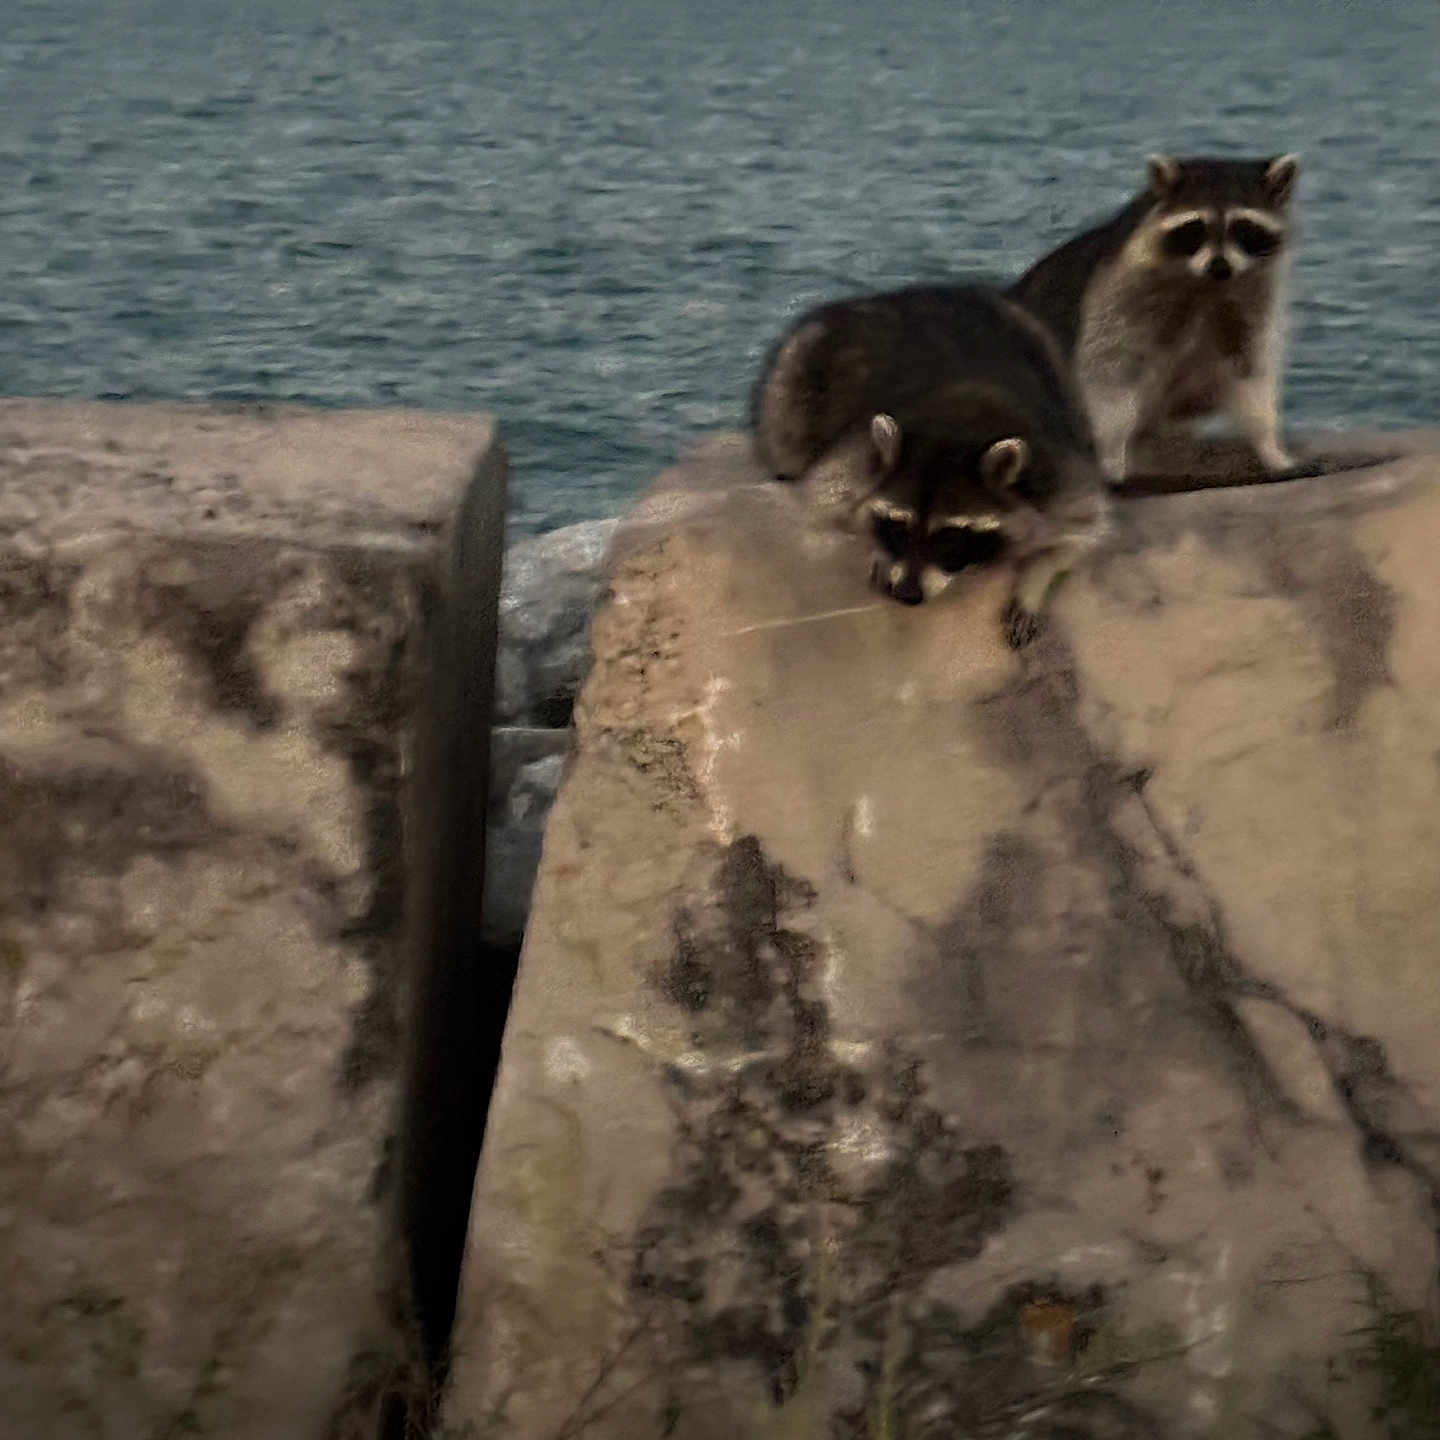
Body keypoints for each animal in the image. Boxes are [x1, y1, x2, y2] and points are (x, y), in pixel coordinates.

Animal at [751, 283, 1109, 647]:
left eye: (950, 537)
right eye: (899, 527)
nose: (908, 595)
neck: (956, 424)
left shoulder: (1054, 471)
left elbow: (1084, 531)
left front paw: (1033, 584)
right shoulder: (853, 456)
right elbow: (822, 506)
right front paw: (880, 550)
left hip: (1048, 355)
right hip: (797, 367)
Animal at [1009, 153, 1300, 482]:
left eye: (1244, 227)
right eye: (1195, 228)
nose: (1220, 267)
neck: (1203, 283)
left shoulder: (1251, 293)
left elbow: (1249, 367)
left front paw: (1268, 443)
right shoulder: (1122, 289)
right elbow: (1108, 374)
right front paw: (1111, 450)